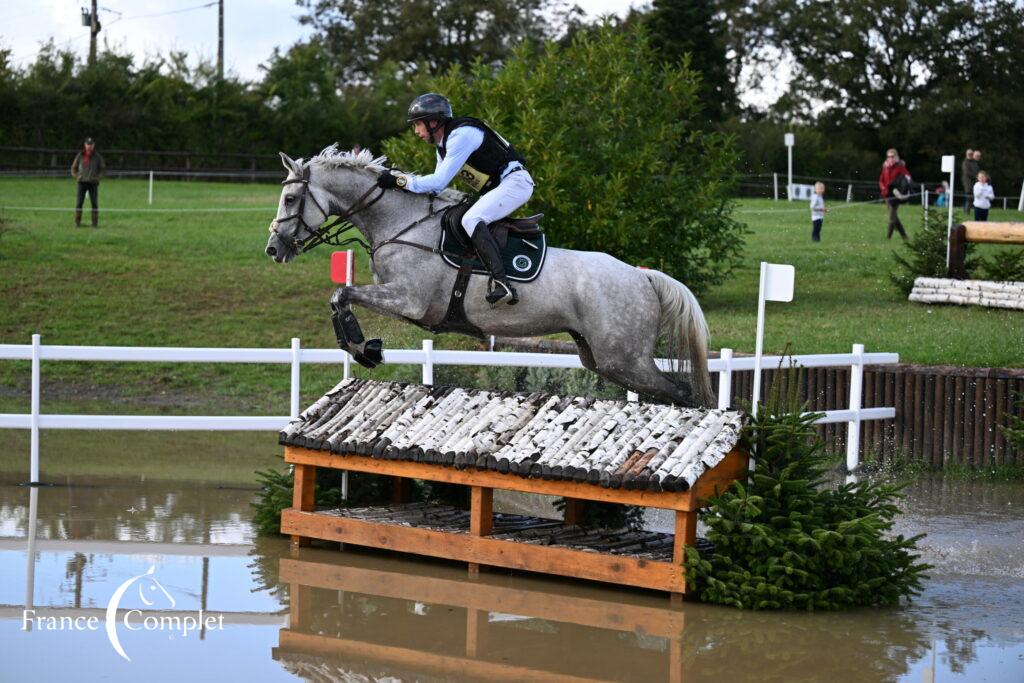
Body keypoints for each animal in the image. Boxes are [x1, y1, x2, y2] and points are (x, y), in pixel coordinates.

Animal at [264, 145, 712, 405]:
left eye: (291, 198)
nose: (273, 249)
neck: (401, 222)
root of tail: (643, 276)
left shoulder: (409, 300)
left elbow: (343, 294)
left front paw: (361, 347)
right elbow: (340, 295)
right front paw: (364, 347)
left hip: (625, 356)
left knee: (681, 391)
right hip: (603, 357)